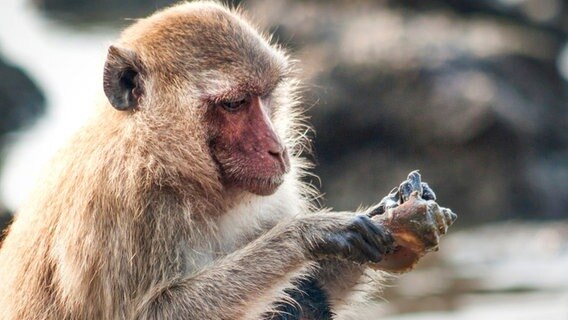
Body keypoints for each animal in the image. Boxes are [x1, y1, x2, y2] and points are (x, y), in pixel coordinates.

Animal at [0, 1, 452, 318]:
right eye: (235, 104)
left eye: (265, 96)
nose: (277, 149)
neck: (167, 164)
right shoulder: (116, 209)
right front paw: (309, 234)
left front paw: (397, 213)